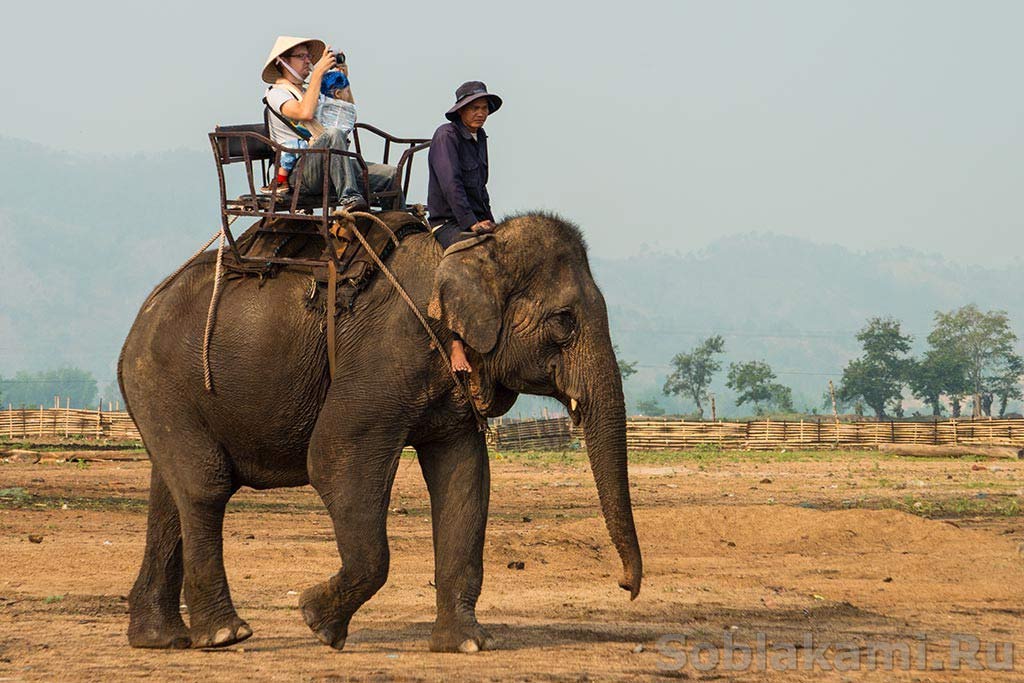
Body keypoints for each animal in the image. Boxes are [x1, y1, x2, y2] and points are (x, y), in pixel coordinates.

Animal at [121, 211, 638, 651]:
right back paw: (226, 634)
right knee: (205, 487)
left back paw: (160, 639)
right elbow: (334, 461)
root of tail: (141, 315)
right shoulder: (384, 357)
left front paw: (468, 644)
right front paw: (317, 622)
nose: (625, 585)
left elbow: (465, 478)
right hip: (163, 380)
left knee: (171, 492)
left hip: (168, 395)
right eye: (564, 321)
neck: (469, 249)